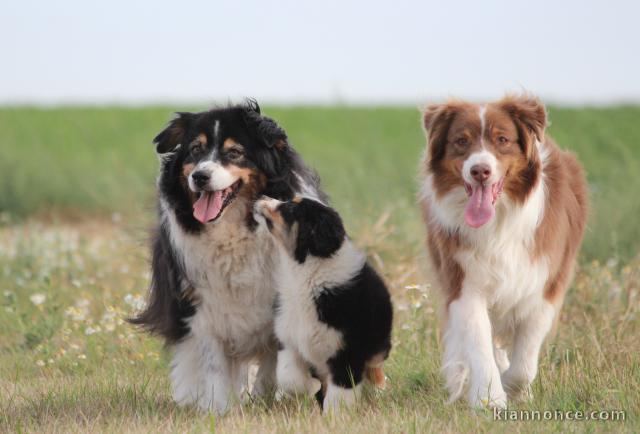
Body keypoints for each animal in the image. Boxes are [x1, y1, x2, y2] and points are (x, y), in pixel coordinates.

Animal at [252, 197, 392, 414]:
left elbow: (339, 394)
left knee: (375, 368)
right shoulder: (289, 339)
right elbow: (288, 377)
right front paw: (312, 386)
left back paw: (378, 392)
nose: (262, 198)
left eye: (290, 208)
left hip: (378, 344)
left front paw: (334, 416)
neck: (306, 274)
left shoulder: (347, 352)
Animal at [420, 93, 592, 408]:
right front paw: (490, 399)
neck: (498, 220)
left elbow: (524, 361)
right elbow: (479, 343)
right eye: (461, 141)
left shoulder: (544, 283)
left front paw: (515, 390)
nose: (480, 171)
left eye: (502, 139)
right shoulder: (463, 281)